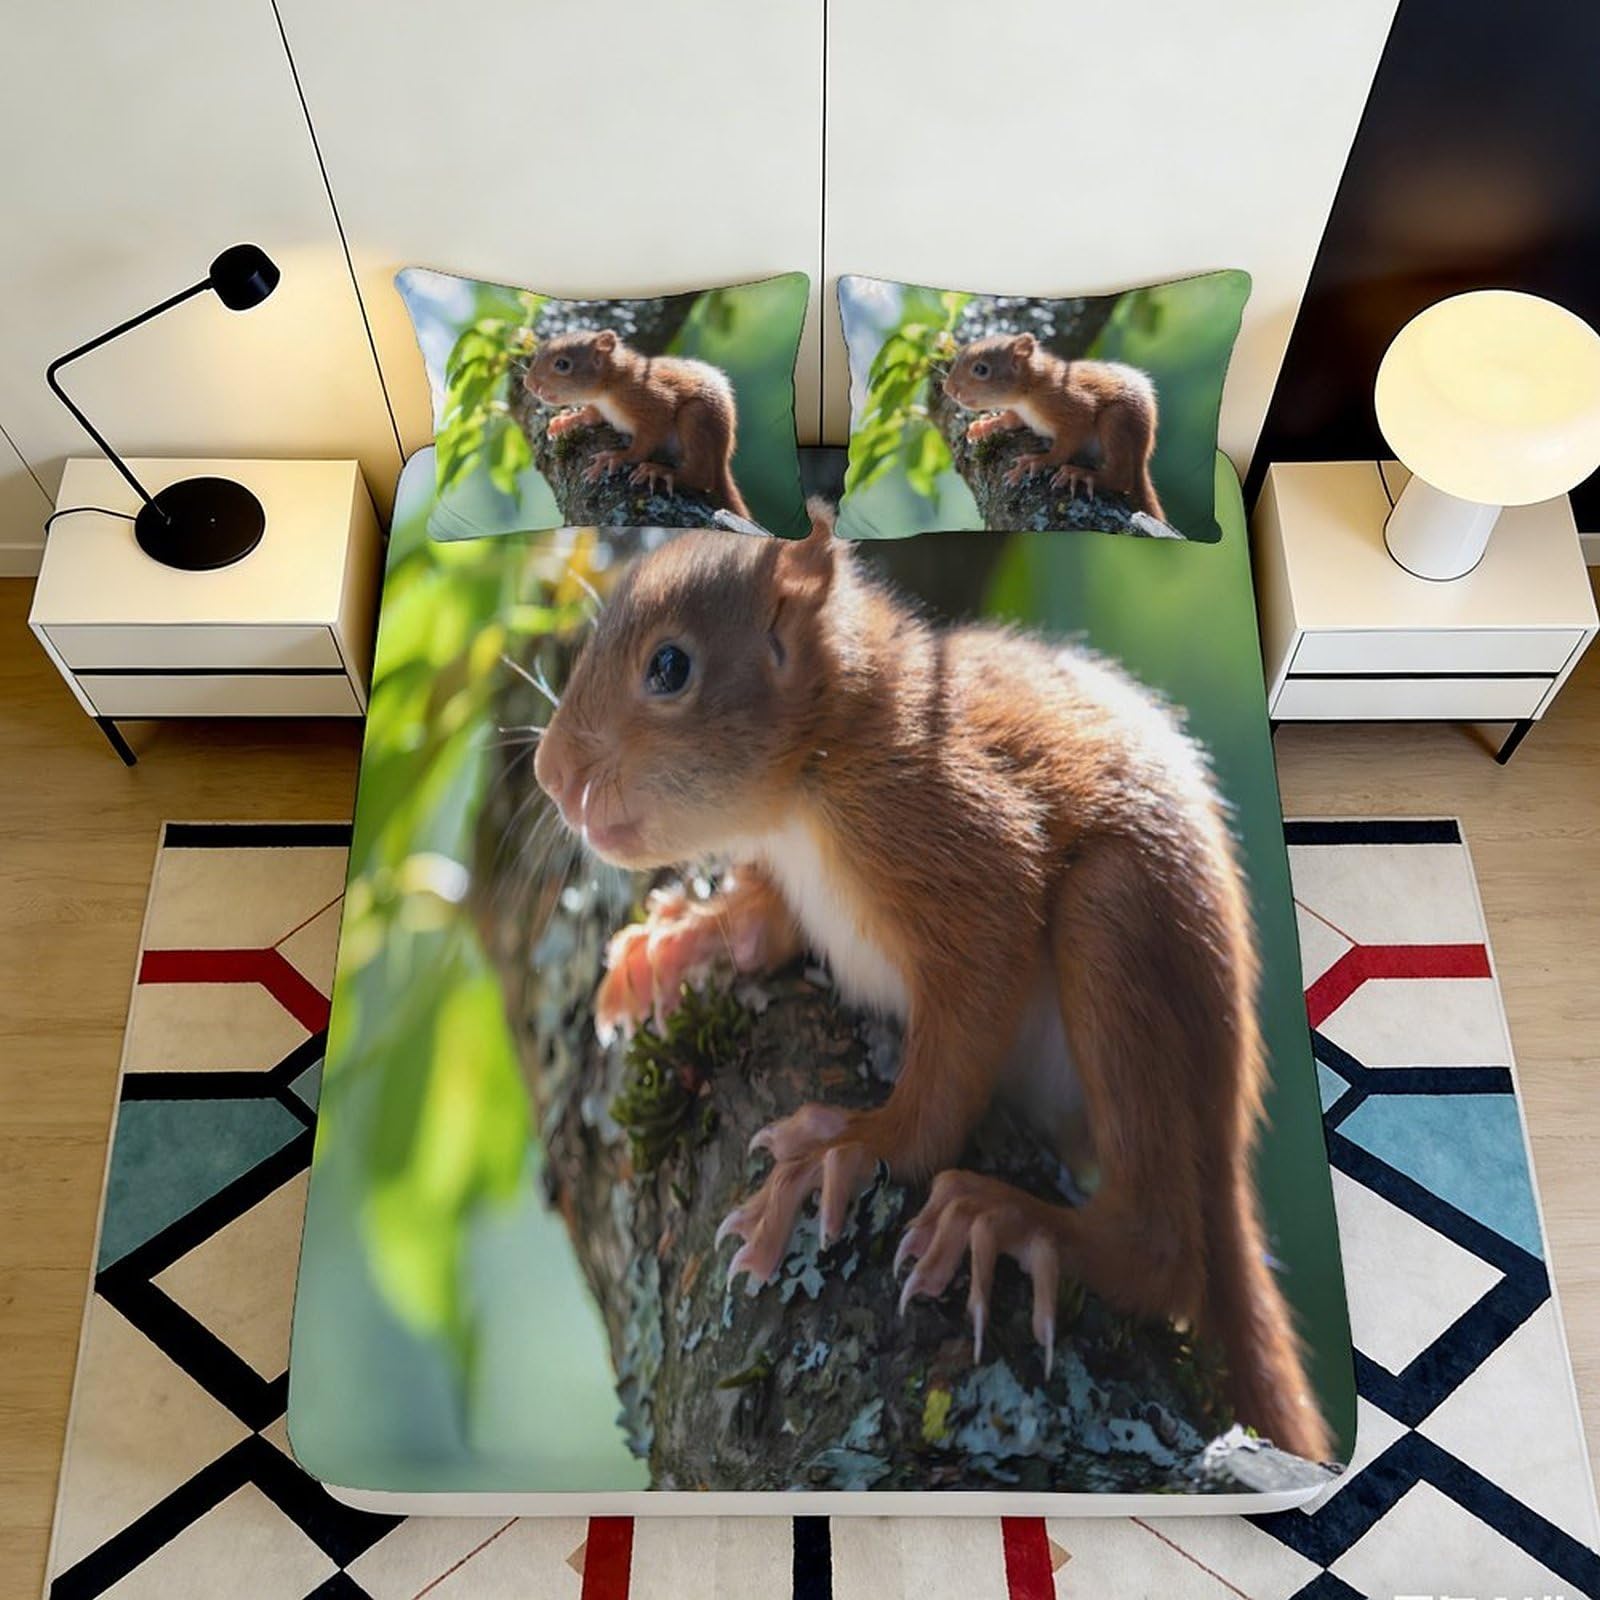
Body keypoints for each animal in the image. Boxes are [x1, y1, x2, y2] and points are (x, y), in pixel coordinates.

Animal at [523, 330, 751, 518]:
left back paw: (662, 471)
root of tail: (723, 455)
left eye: (562, 364)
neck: (609, 385)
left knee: (701, 476)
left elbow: (644, 444)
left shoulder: (653, 403)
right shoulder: (600, 408)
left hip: (696, 417)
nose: (529, 384)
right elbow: (592, 416)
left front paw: (617, 457)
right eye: (538, 352)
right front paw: (567, 419)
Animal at [531, 502, 1331, 1463]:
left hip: (1120, 928)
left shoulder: (954, 829)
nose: (550, 776)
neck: (812, 775)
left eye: (669, 668)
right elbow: (766, 927)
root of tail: (1228, 1122)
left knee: (1166, 1253)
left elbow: (962, 1029)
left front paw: (852, 1147)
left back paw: (1014, 1223)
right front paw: (682, 939)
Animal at [944, 334, 1165, 521]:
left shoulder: (1073, 406)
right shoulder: (1022, 413)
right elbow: (1011, 420)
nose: (948, 390)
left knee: (1121, 477)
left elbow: (1064, 447)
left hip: (1117, 421)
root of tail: (1142, 454)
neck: (1028, 391)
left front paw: (1038, 460)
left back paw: (1083, 474)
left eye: (981, 369)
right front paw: (986, 424)